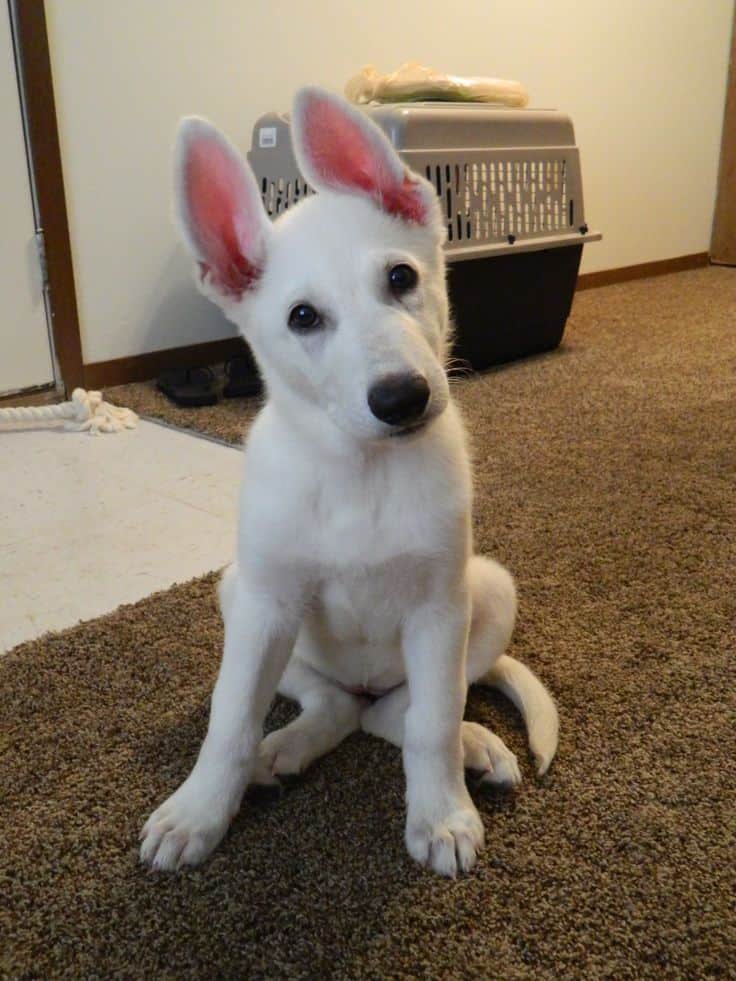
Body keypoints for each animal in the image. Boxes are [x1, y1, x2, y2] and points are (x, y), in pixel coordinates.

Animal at [141, 88, 556, 876]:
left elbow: (432, 721)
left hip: (488, 589)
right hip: (241, 597)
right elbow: (229, 720)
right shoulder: (266, 606)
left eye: (401, 278)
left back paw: (476, 746)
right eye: (303, 317)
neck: (363, 472)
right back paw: (282, 750)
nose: (402, 398)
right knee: (333, 706)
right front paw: (198, 812)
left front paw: (441, 814)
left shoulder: (438, 610)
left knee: (403, 710)